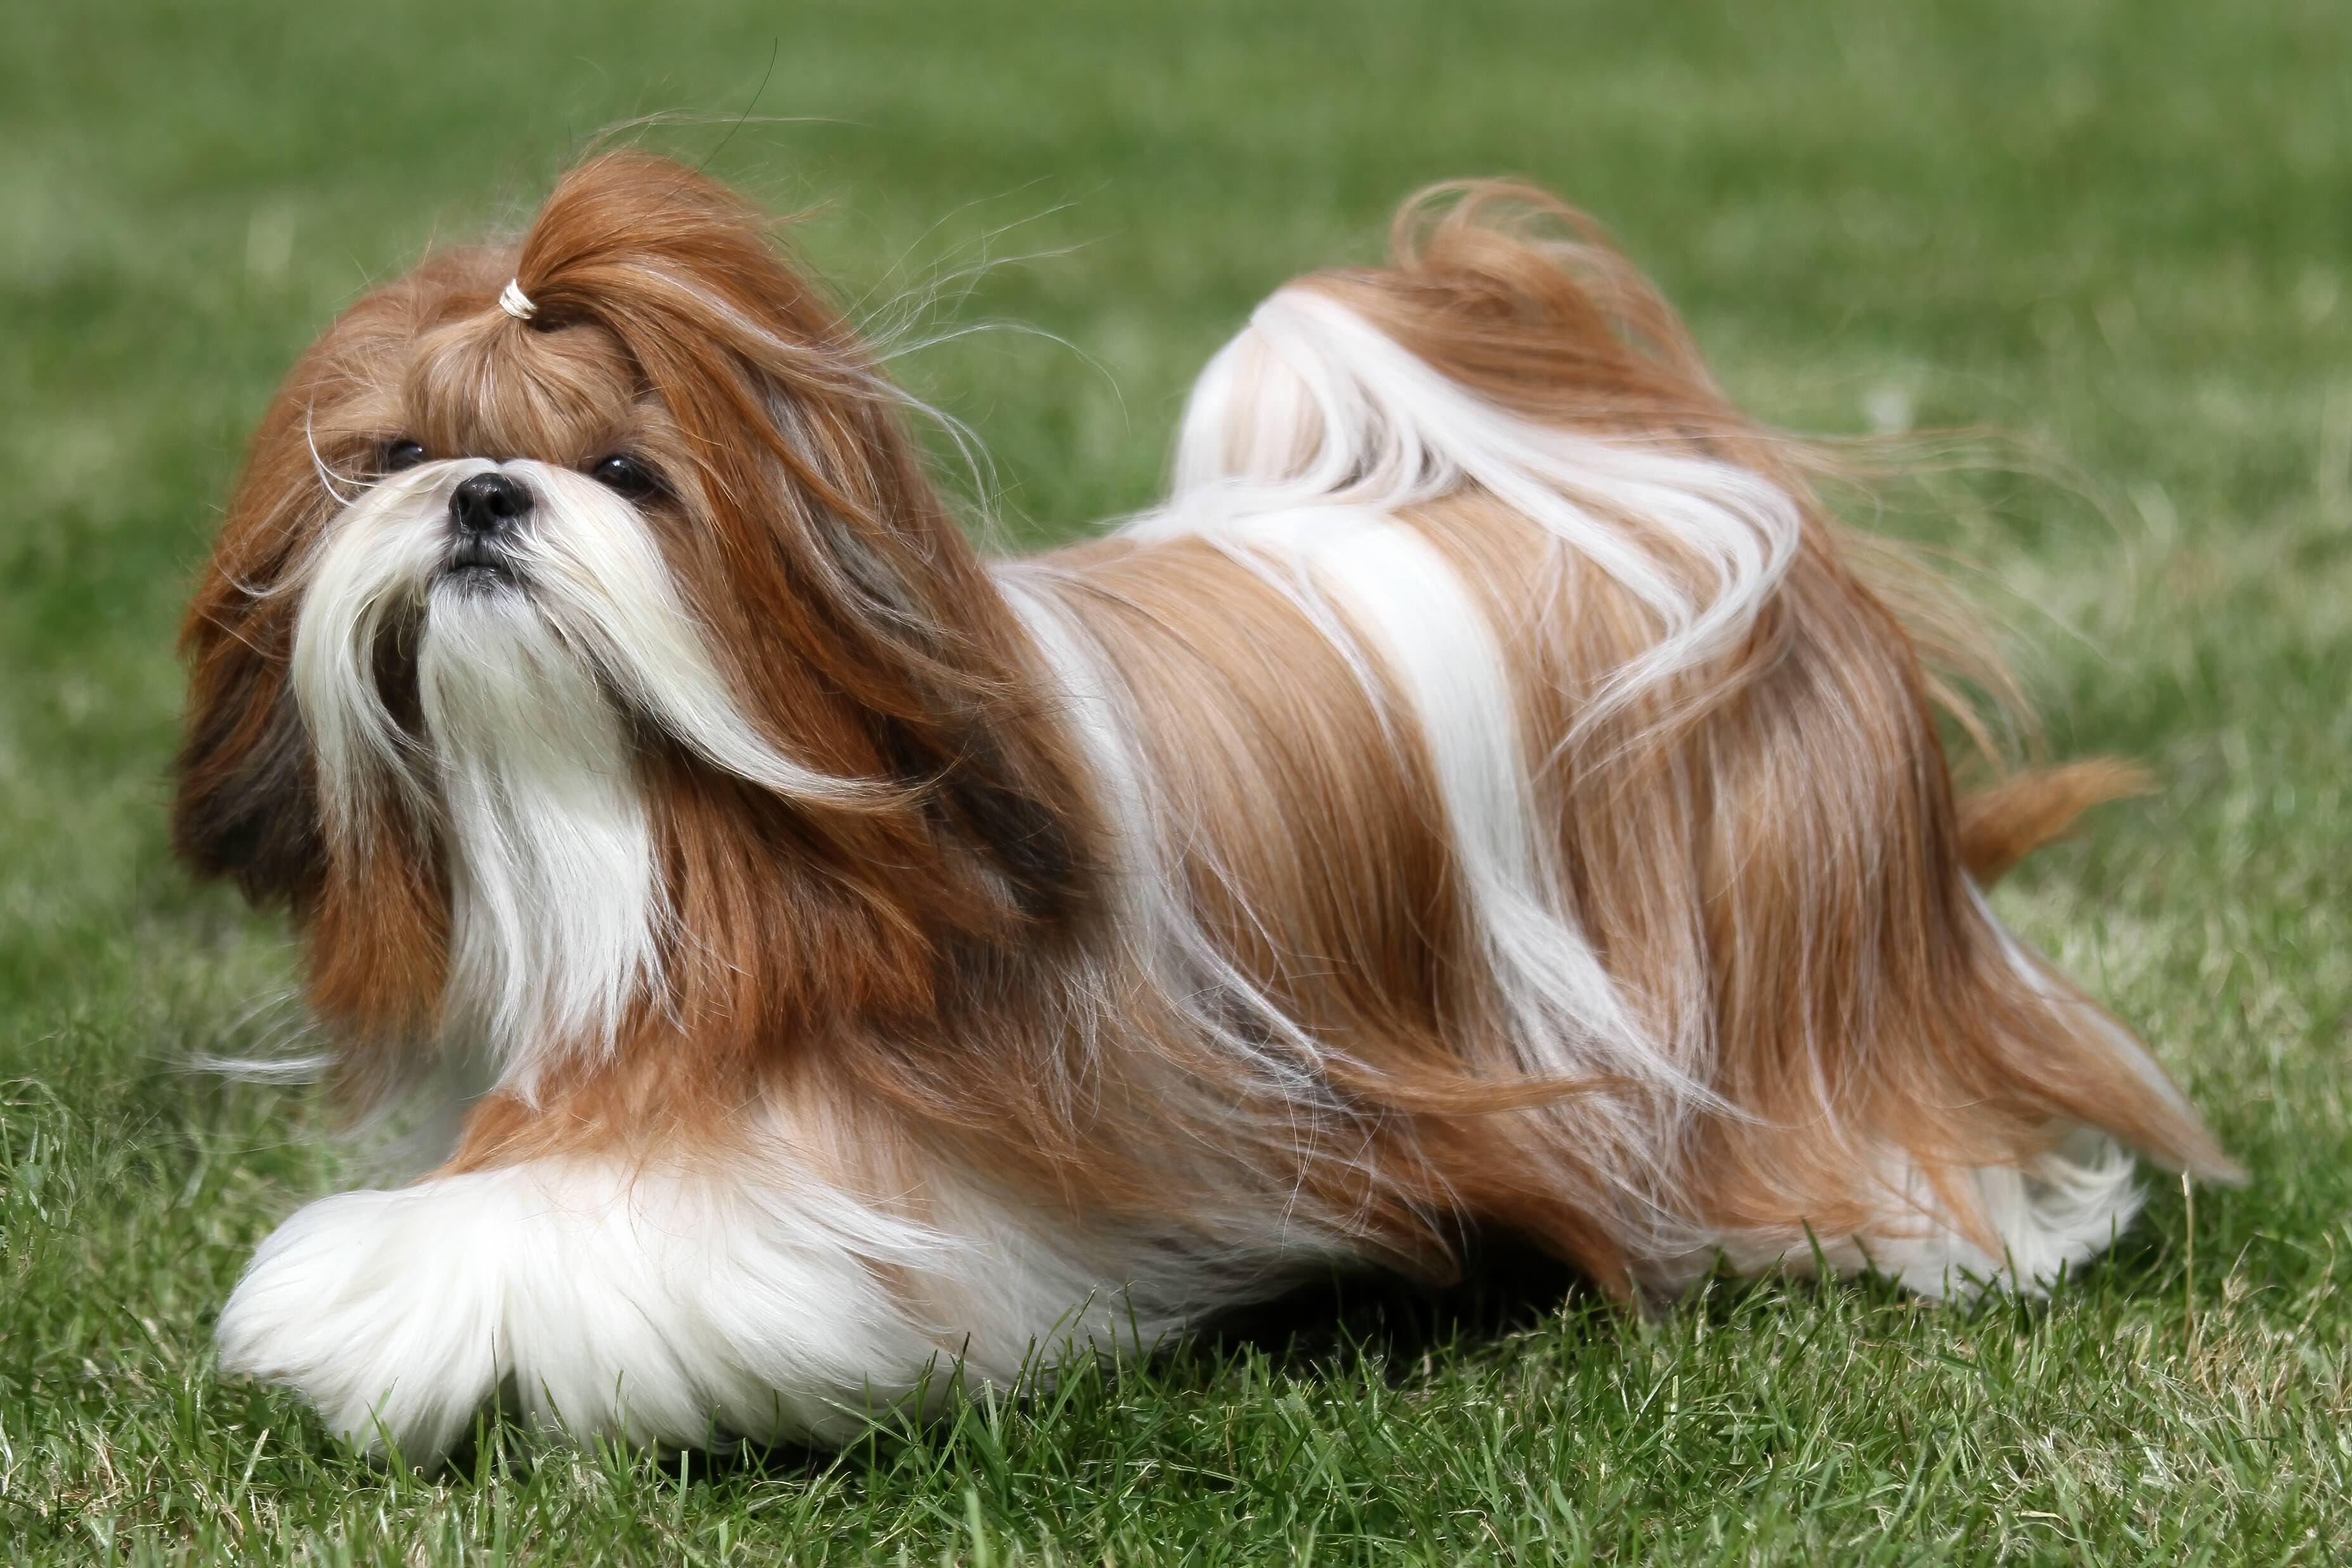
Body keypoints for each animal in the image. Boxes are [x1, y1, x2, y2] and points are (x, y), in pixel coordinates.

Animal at [174, 152, 2230, 1467]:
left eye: (628, 472)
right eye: (402, 452)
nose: (484, 494)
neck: (647, 820)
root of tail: (1675, 481)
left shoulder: (843, 1150)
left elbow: (603, 1244)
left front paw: (363, 1296)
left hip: (1803, 966)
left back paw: (1931, 1220)